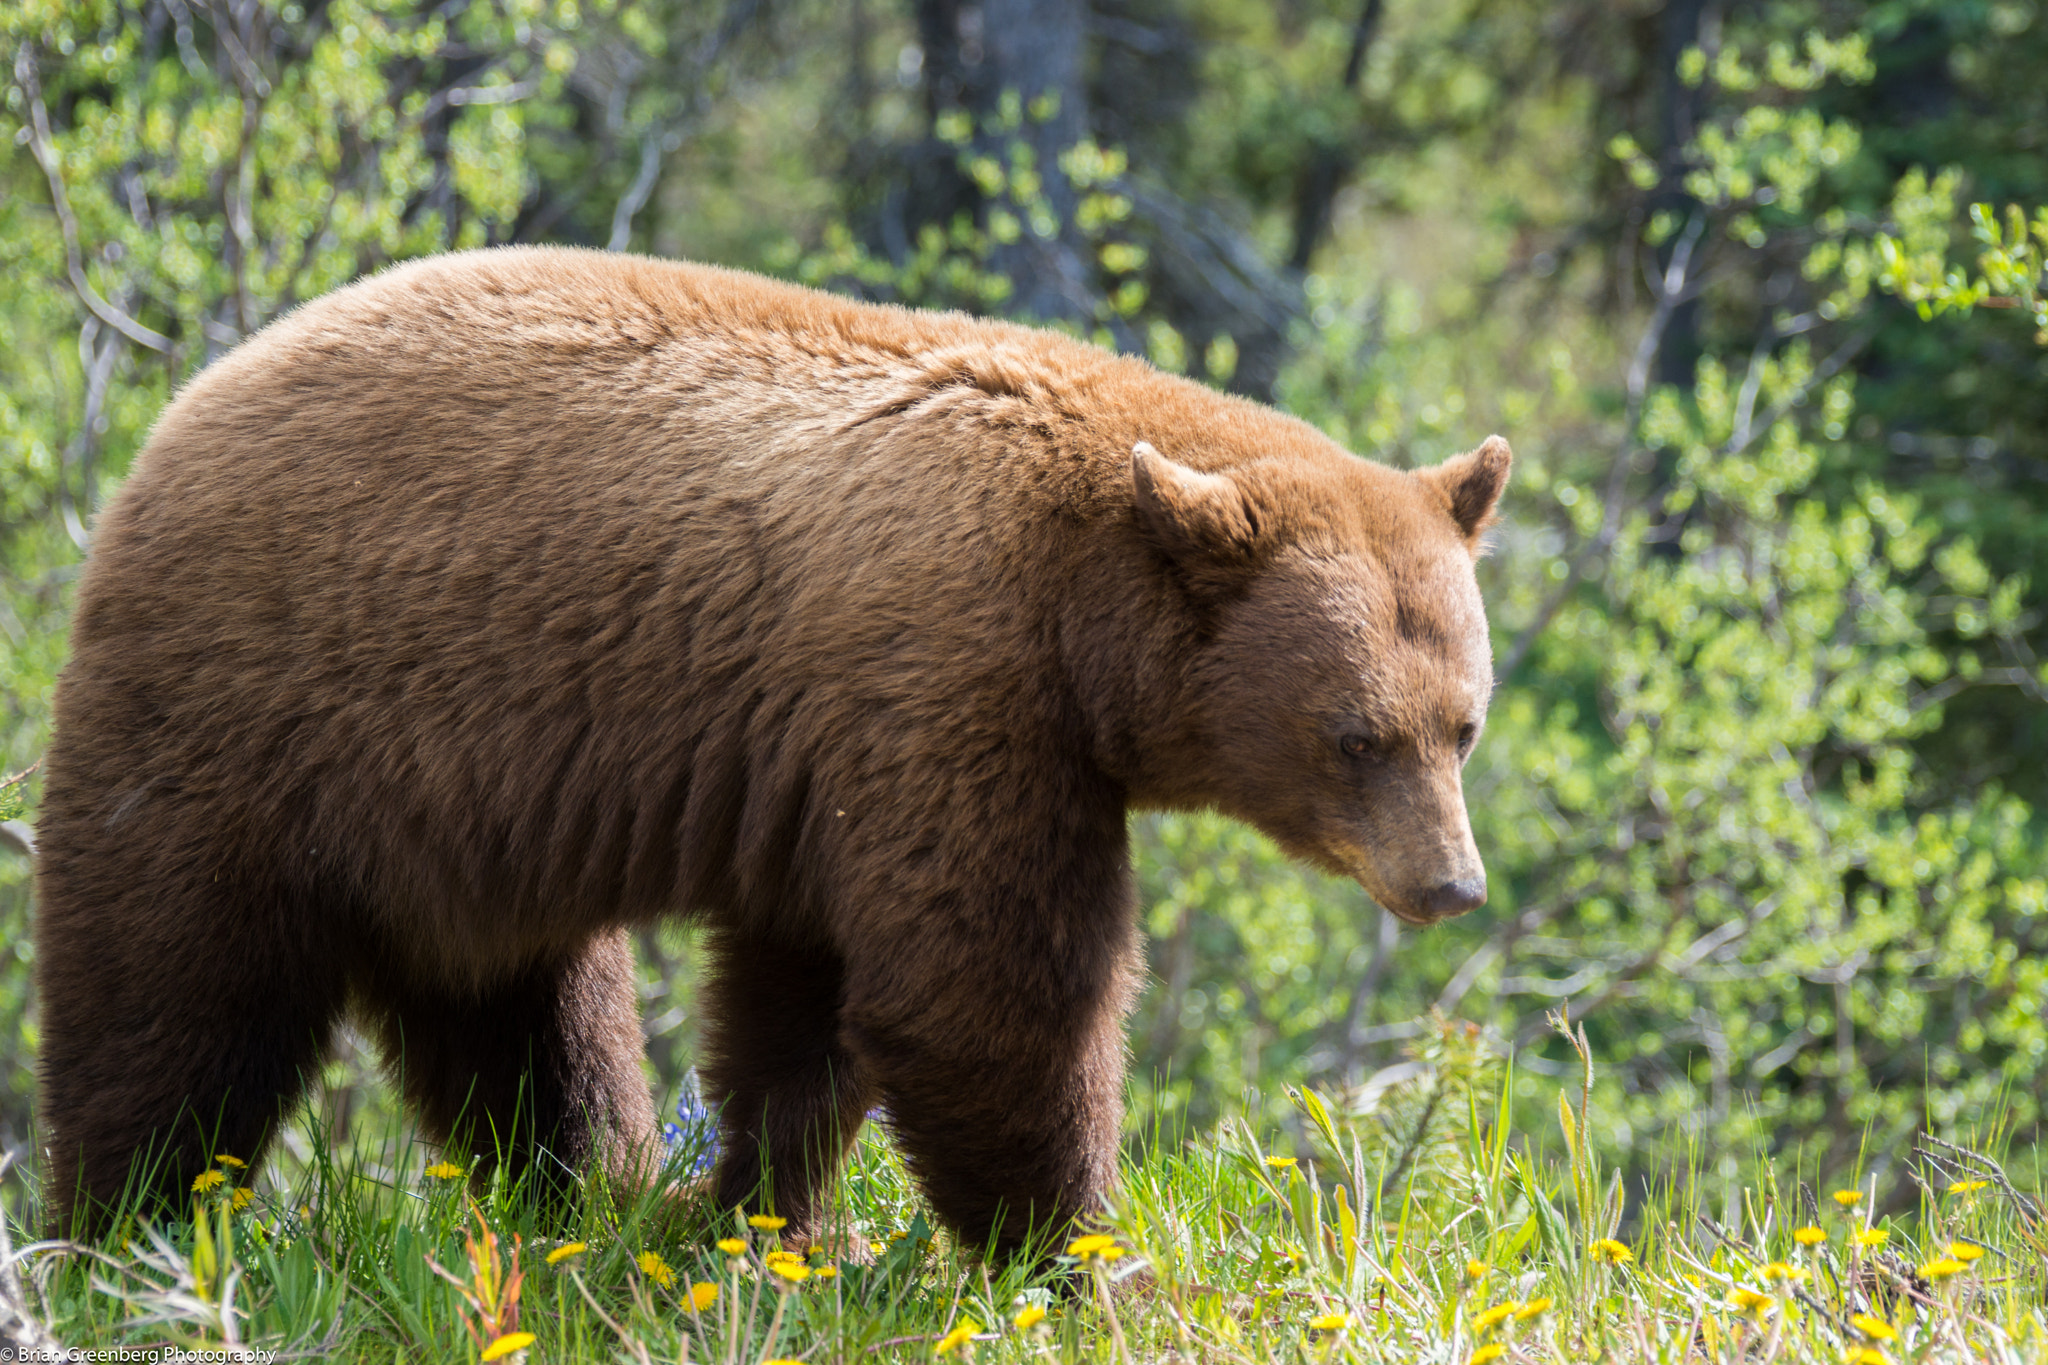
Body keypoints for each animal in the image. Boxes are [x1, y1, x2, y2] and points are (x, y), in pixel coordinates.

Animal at [28, 242, 1507, 1252]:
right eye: (1355, 735)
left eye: (1463, 723)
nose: (1452, 885)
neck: (1078, 604)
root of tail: (180, 413)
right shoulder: (959, 685)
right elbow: (984, 995)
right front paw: (1077, 1254)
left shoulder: (831, 763)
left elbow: (809, 1004)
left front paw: (749, 1218)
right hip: (255, 715)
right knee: (169, 996)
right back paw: (122, 1230)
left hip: (448, 828)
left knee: (524, 1022)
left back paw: (586, 1189)